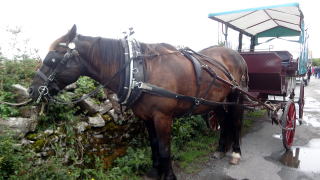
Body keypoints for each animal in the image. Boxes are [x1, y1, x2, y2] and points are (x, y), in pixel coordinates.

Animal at [28, 25, 249, 179]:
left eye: (52, 60)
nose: (32, 90)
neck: (142, 70)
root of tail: (236, 54)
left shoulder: (162, 117)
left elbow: (164, 148)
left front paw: (169, 175)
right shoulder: (146, 117)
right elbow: (153, 145)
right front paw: (155, 171)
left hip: (236, 97)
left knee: (236, 122)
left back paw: (236, 153)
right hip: (217, 101)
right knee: (224, 121)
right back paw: (221, 149)